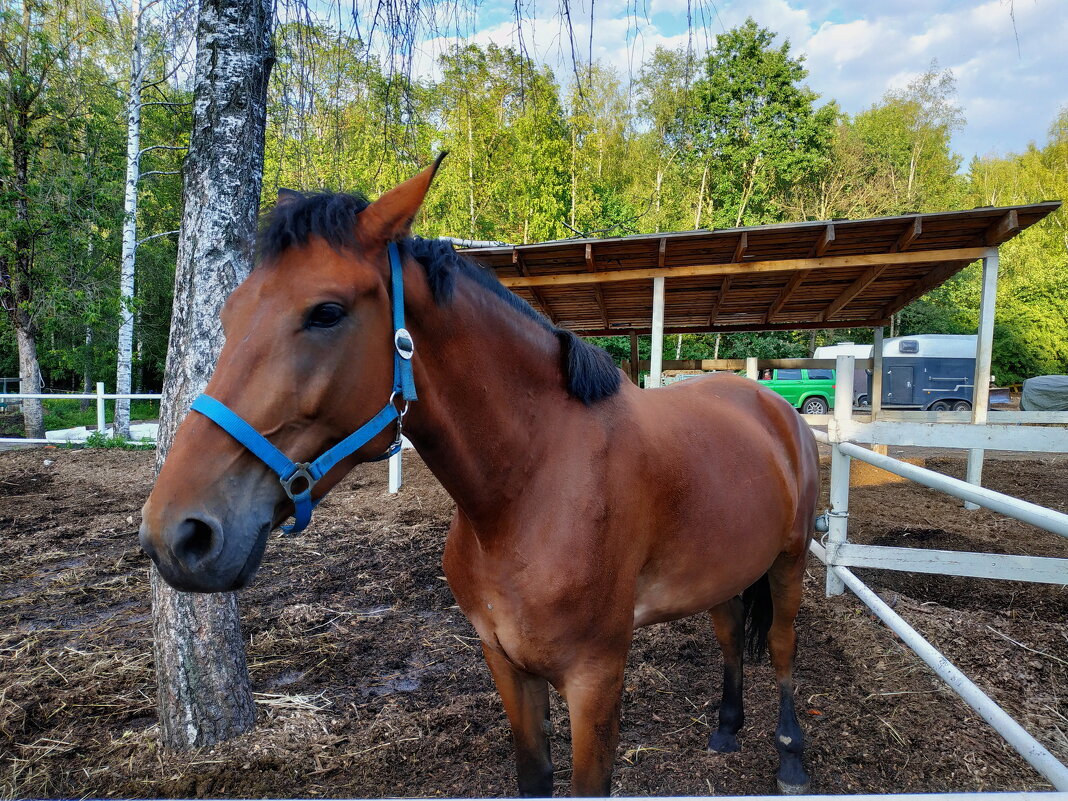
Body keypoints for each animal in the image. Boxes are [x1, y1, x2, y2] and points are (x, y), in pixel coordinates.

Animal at [139, 156, 815, 798]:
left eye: (326, 312)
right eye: (229, 315)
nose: (176, 534)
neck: (531, 492)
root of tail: (773, 404)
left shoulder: (596, 677)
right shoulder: (505, 662)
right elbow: (533, 775)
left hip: (789, 561)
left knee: (784, 648)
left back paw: (791, 758)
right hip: (723, 569)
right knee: (730, 632)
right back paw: (726, 728)